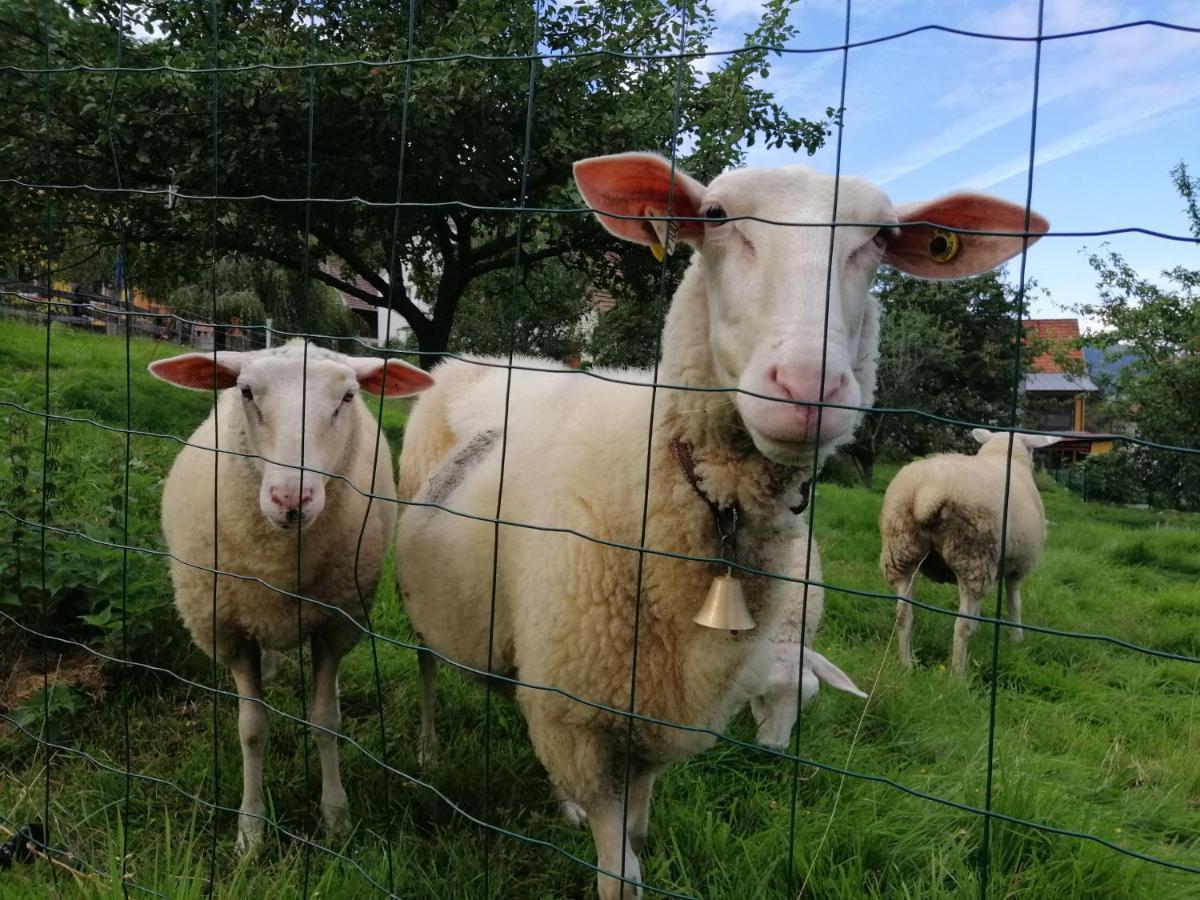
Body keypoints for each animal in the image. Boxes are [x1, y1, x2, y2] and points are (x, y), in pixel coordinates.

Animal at [148, 338, 432, 854]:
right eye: (245, 391)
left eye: (347, 397)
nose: (290, 499)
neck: (280, 566)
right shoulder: (230, 631)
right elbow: (252, 730)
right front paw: (251, 830)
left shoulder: (336, 624)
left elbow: (325, 720)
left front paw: (336, 815)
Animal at [398, 151, 1046, 897]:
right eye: (714, 217)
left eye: (883, 238)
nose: (807, 387)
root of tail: (473, 360)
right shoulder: (582, 714)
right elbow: (618, 870)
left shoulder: (649, 717)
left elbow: (635, 838)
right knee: (426, 663)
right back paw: (428, 748)